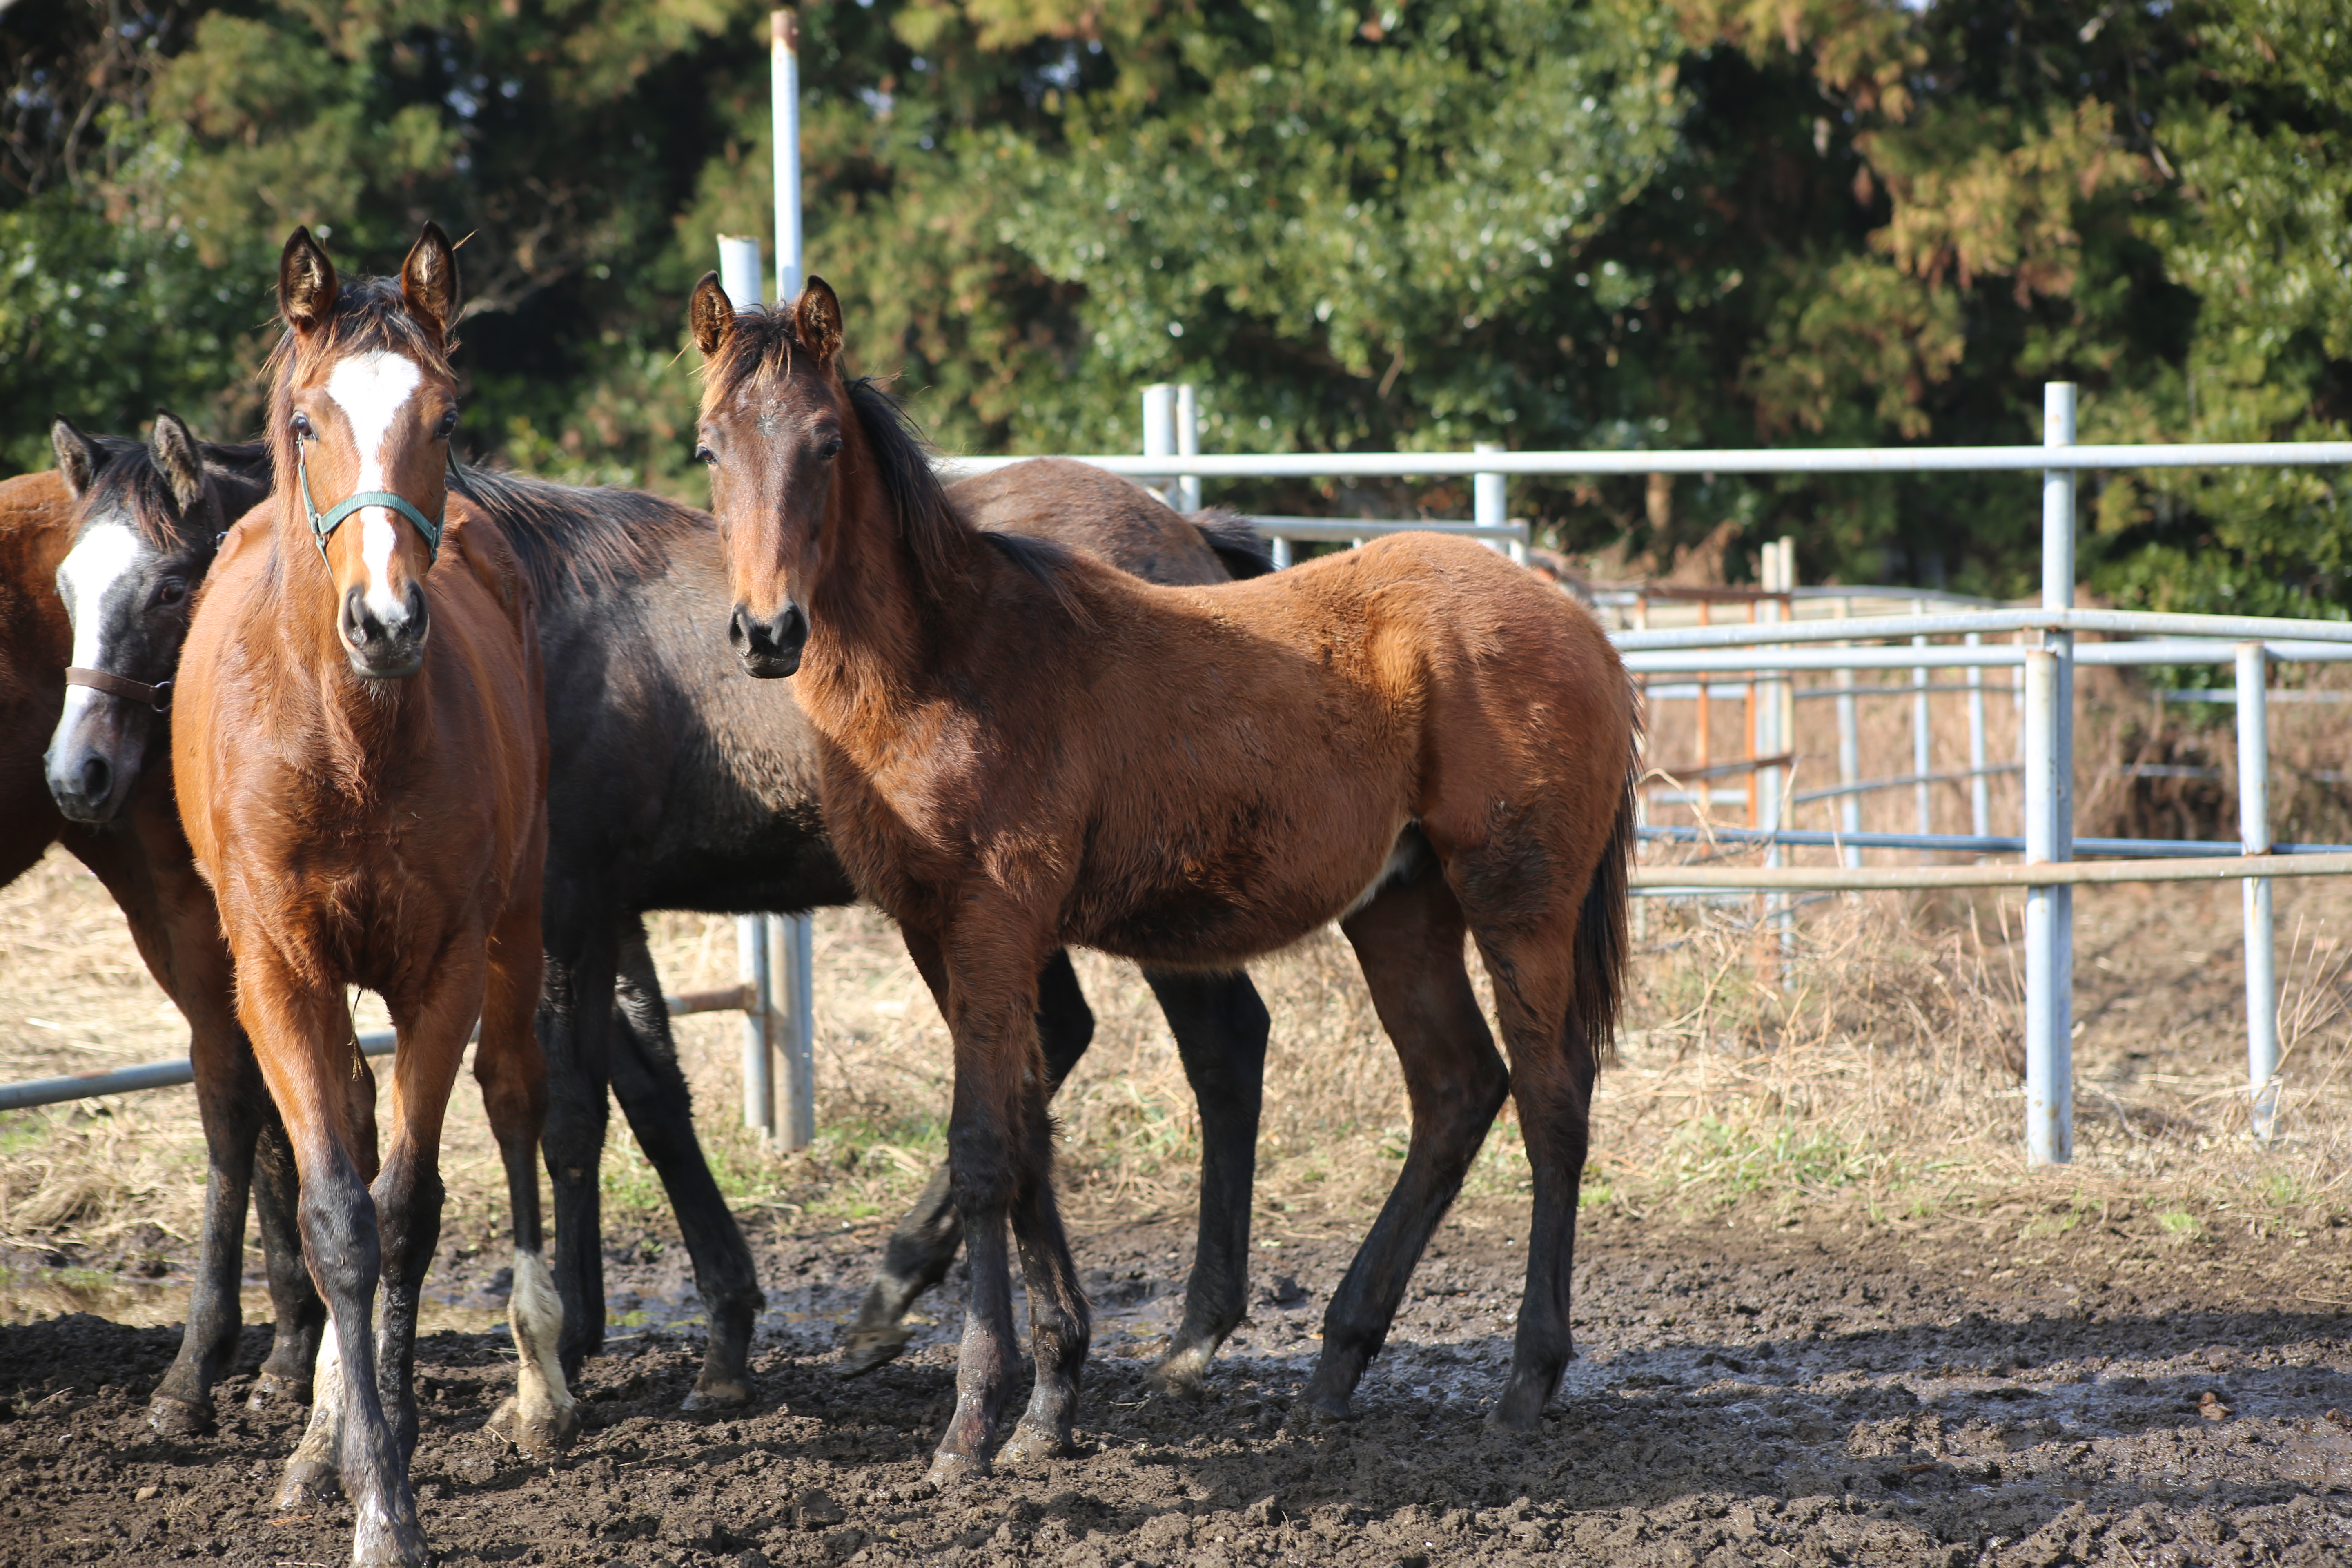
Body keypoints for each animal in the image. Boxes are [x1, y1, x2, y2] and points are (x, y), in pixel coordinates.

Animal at [173, 223, 569, 1568]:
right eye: (307, 421)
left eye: (444, 416)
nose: (387, 620)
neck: (350, 741)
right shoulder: (279, 971)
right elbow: (339, 1215)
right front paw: (365, 1483)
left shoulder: (440, 968)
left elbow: (404, 1214)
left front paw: (390, 1480)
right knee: (340, 1124)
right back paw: (321, 1440)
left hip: (514, 934)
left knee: (512, 1102)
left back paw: (532, 1383)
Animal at [686, 276, 1627, 1495]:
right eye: (709, 447)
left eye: (827, 441)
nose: (766, 631)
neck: (948, 663)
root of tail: (1579, 625)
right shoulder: (940, 932)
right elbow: (1027, 1136)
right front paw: (1049, 1405)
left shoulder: (994, 923)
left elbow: (984, 1151)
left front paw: (973, 1423)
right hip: (1400, 907)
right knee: (1456, 1088)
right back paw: (1334, 1365)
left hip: (1520, 905)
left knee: (1552, 1100)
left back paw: (1521, 1383)